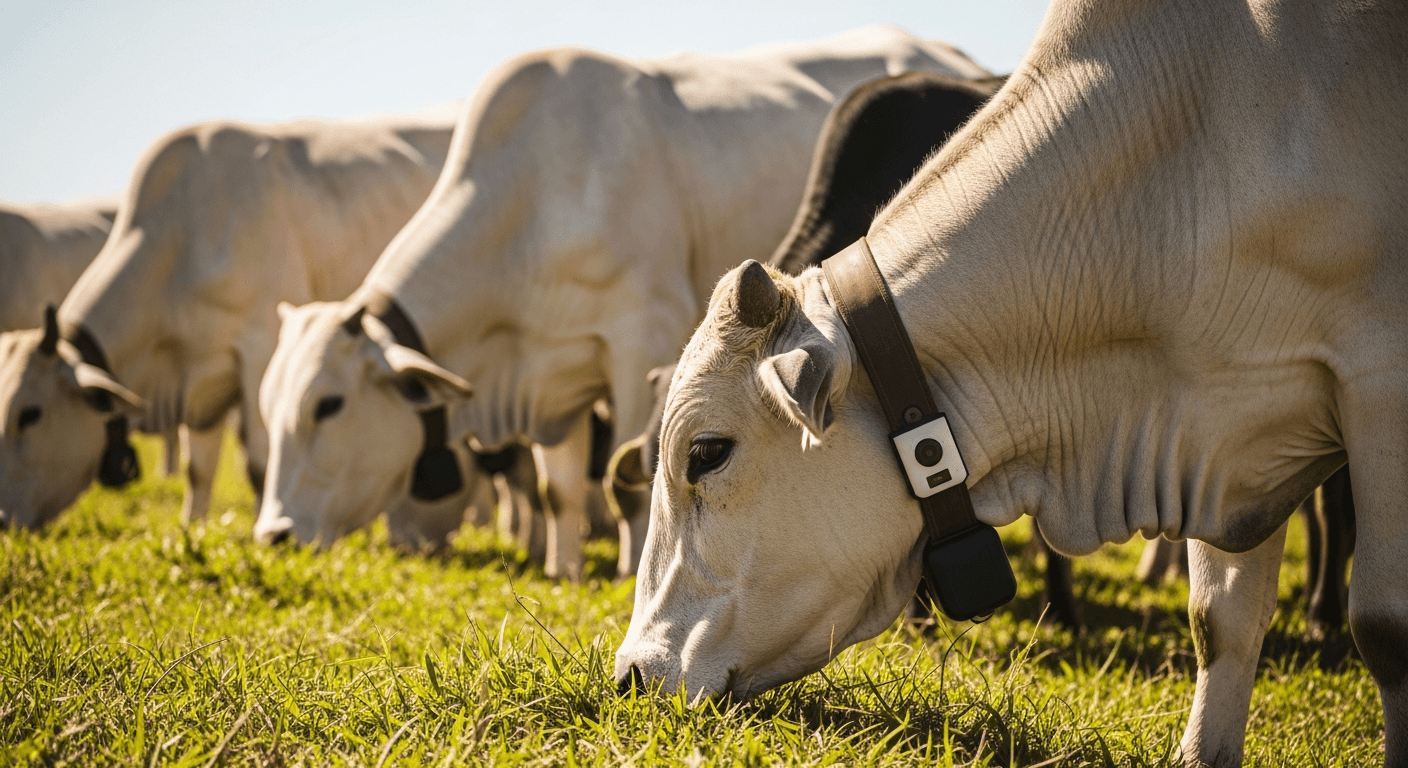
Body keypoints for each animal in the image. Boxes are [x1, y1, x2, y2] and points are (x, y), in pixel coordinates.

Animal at [0, 111, 458, 533]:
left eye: (30, 414)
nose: (3, 520)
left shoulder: (260, 347)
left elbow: (259, 464)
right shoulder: (201, 388)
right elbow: (198, 470)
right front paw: (193, 528)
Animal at [252, 26, 993, 581]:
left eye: (328, 404)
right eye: (269, 405)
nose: (273, 534)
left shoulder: (642, 340)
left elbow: (631, 478)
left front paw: (630, 567)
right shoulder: (556, 373)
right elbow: (558, 490)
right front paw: (562, 571)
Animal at [615, 1, 1406, 765]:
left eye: (706, 452)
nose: (630, 675)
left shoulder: (1373, 385)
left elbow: (1386, 628)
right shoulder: (1224, 436)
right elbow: (1221, 621)